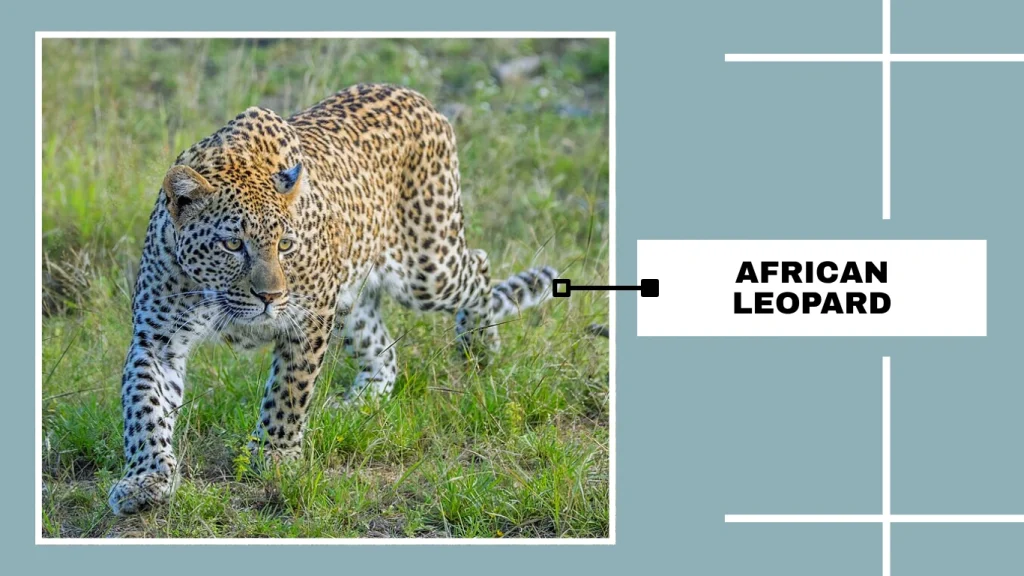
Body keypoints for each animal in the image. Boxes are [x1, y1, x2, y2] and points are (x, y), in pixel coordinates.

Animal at [107, 84, 558, 515]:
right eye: (233, 244)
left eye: (285, 245)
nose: (270, 296)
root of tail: (419, 98)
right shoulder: (157, 339)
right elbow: (145, 408)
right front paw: (146, 478)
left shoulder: (308, 317)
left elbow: (288, 391)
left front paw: (274, 454)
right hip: (354, 298)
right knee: (384, 353)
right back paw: (359, 403)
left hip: (428, 268)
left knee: (478, 264)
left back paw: (479, 346)